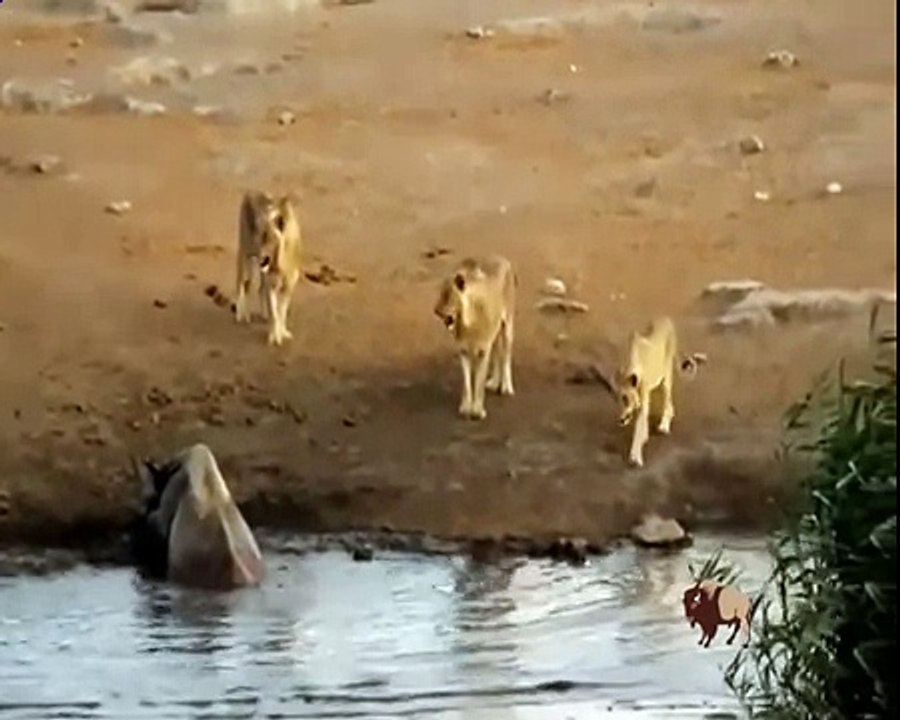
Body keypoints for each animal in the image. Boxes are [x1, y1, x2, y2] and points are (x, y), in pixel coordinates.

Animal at [235, 190, 303, 346]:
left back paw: (263, 315)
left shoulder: (288, 286)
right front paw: (274, 337)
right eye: (260, 236)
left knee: (257, 289)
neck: (280, 262)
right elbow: (274, 313)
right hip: (245, 256)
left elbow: (281, 311)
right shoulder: (270, 284)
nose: (259, 255)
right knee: (241, 285)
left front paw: (282, 333)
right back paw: (242, 315)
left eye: (268, 238)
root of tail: (250, 192)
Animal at [434, 256, 516, 420]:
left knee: (506, 357)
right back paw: (494, 382)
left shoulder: (483, 351)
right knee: (497, 352)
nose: (436, 311)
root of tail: (503, 259)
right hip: (495, 332)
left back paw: (506, 387)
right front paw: (466, 408)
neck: (467, 322)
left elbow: (478, 381)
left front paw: (477, 411)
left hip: (508, 326)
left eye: (447, 295)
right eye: (441, 294)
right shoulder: (463, 351)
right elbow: (467, 382)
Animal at [612, 316, 706, 467]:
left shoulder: (643, 400)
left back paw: (664, 426)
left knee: (668, 402)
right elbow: (641, 425)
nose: (620, 419)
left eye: (625, 398)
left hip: (666, 376)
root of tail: (665, 318)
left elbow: (639, 427)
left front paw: (635, 457)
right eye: (618, 399)